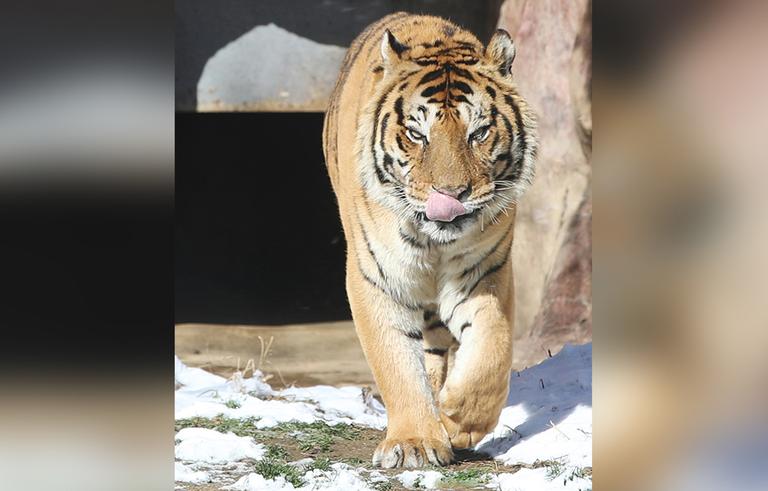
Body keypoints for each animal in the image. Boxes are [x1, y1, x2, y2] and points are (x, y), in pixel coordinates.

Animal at [322, 13, 538, 468]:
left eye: (479, 133)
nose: (451, 195)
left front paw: (460, 420)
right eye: (417, 134)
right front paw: (415, 443)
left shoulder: (486, 272)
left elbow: (492, 346)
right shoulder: (377, 279)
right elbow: (396, 363)